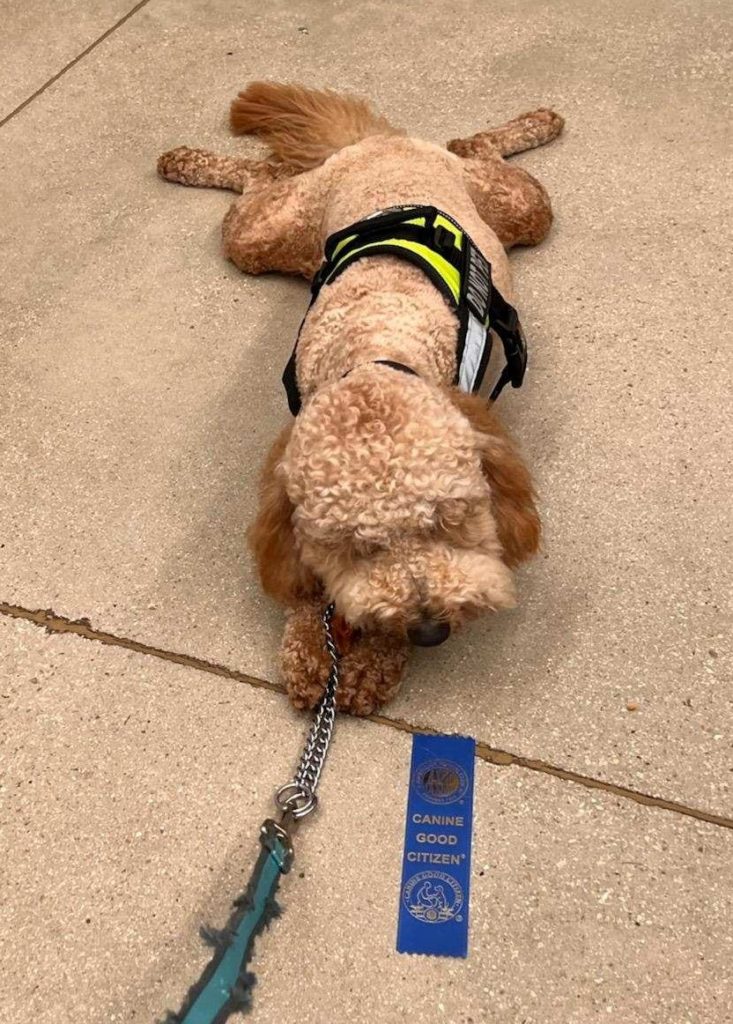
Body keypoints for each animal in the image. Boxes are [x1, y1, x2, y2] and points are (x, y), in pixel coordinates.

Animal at [158, 81, 561, 712]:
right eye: (354, 547)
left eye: (446, 522)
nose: (429, 629)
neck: (374, 347)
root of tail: (382, 144)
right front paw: (311, 643)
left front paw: (374, 659)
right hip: (264, 236)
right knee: (261, 175)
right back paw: (190, 162)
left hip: (524, 208)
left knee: (475, 145)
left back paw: (533, 124)